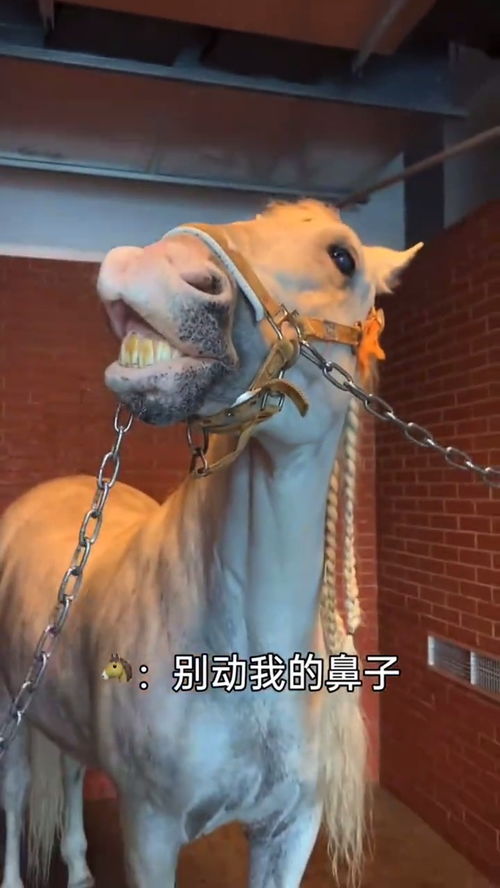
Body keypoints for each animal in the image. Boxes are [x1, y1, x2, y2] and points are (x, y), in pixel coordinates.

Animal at [0, 199, 422, 888]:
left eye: (343, 258)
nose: (144, 268)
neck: (250, 663)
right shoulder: (150, 828)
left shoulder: (291, 832)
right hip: (10, 703)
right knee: (14, 794)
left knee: (68, 772)